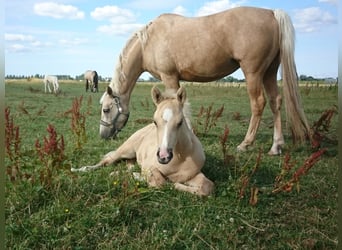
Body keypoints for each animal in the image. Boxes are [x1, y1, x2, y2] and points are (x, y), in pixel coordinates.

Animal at [72, 87, 214, 196]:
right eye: (155, 121)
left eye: (180, 122)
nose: (163, 156)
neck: (179, 159)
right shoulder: (149, 166)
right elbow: (159, 182)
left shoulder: (192, 174)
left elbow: (208, 186)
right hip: (125, 150)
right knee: (106, 161)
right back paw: (79, 169)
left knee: (128, 164)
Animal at [98, 6, 310, 155]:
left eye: (106, 109)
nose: (103, 136)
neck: (149, 42)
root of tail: (272, 13)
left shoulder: (169, 77)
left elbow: (180, 107)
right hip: (270, 72)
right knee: (276, 102)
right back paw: (276, 146)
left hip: (253, 72)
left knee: (258, 103)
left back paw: (245, 144)